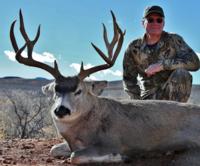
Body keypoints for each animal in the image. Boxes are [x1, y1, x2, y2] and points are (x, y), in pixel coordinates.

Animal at [9, 10, 200, 165]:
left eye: (79, 90)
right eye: (56, 90)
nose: (61, 110)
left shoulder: (112, 141)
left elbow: (75, 156)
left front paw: (121, 157)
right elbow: (53, 149)